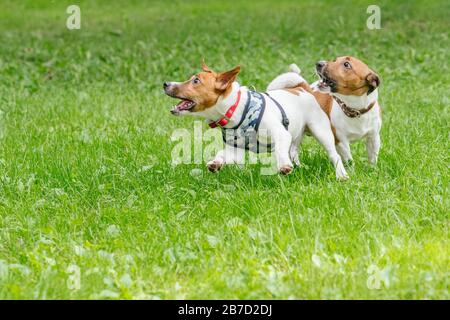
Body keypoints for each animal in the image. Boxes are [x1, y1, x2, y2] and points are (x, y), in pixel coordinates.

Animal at [163, 61, 350, 179]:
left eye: (196, 81)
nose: (165, 84)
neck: (236, 108)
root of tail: (302, 89)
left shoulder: (280, 134)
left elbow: (280, 151)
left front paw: (283, 165)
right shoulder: (235, 150)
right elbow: (222, 154)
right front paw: (216, 162)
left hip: (320, 131)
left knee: (334, 155)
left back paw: (341, 175)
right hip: (297, 135)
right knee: (294, 151)